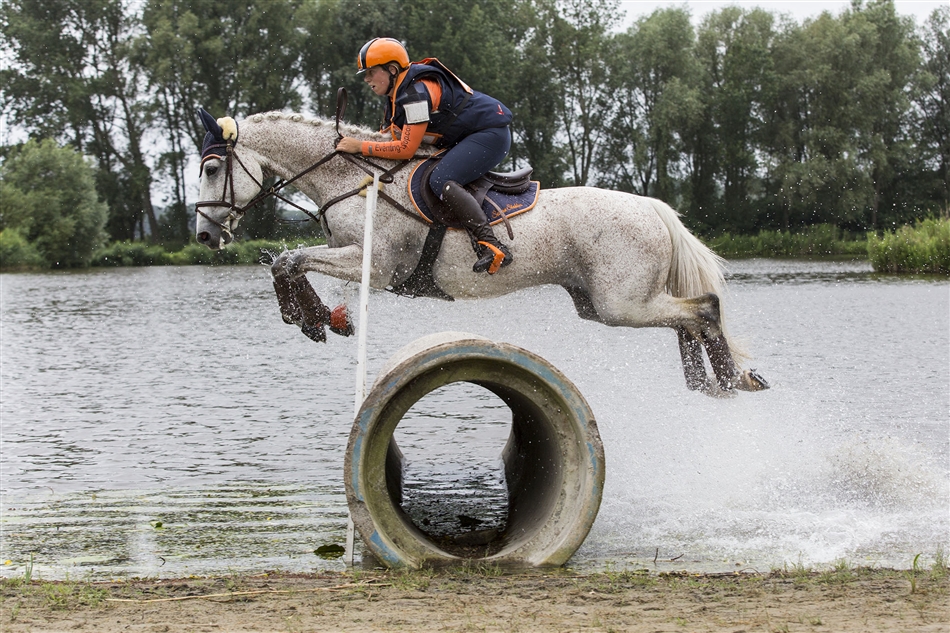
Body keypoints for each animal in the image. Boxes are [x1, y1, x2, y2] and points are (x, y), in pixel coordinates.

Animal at [194, 109, 768, 396]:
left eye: (211, 168)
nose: (204, 236)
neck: (351, 179)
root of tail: (653, 208)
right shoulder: (346, 253)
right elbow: (287, 264)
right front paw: (321, 317)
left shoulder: (376, 267)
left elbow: (289, 261)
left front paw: (312, 319)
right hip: (603, 303)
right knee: (687, 319)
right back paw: (709, 383)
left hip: (620, 303)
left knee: (703, 309)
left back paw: (727, 380)